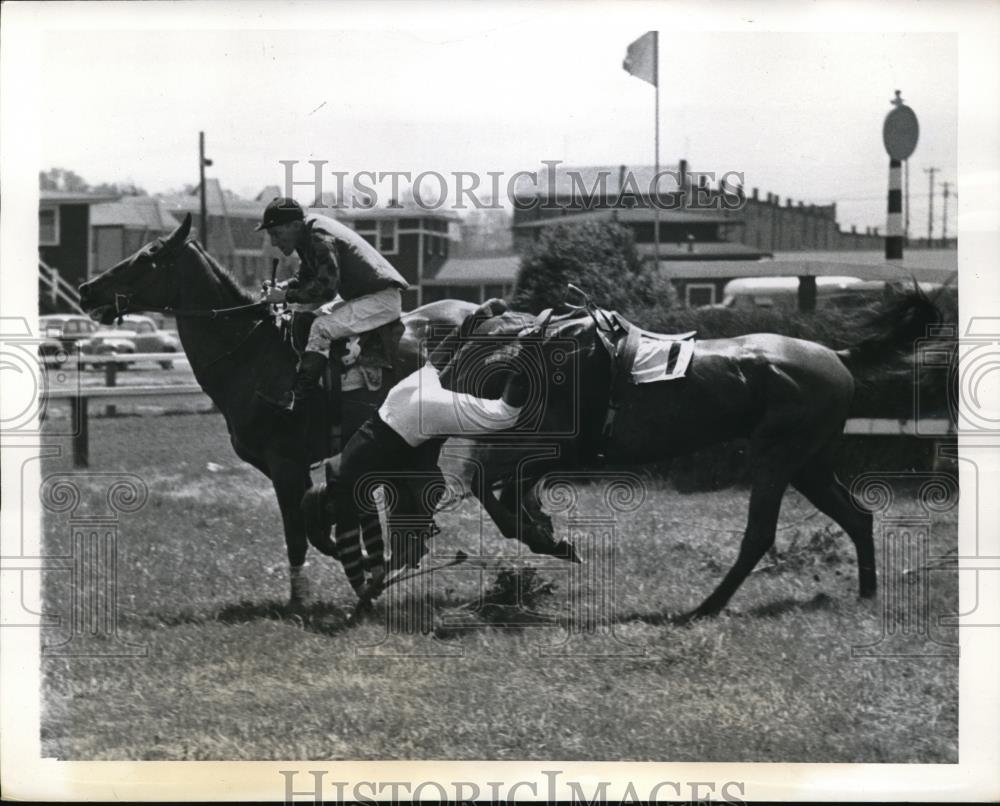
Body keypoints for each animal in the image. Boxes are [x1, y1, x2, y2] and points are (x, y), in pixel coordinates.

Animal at [78, 215, 476, 608]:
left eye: (148, 255)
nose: (86, 289)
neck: (254, 354)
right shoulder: (288, 466)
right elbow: (316, 524)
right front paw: (361, 564)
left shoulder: (285, 462)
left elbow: (298, 533)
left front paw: (301, 598)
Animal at [442, 292, 940, 624]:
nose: (440, 381)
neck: (542, 347)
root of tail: (837, 355)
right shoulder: (557, 453)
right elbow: (505, 489)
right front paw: (544, 530)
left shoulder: (562, 446)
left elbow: (487, 483)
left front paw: (547, 537)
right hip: (808, 463)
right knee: (856, 516)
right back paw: (867, 593)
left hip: (779, 455)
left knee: (760, 534)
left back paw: (706, 607)